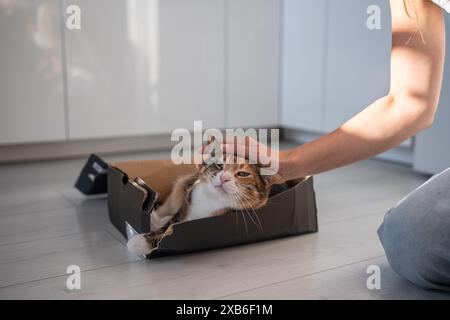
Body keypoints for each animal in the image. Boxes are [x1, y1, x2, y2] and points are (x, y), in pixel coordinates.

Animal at [125, 156, 270, 256]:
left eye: (243, 174)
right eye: (219, 165)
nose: (223, 178)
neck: (211, 199)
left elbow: (168, 231)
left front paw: (137, 242)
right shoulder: (184, 205)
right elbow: (168, 225)